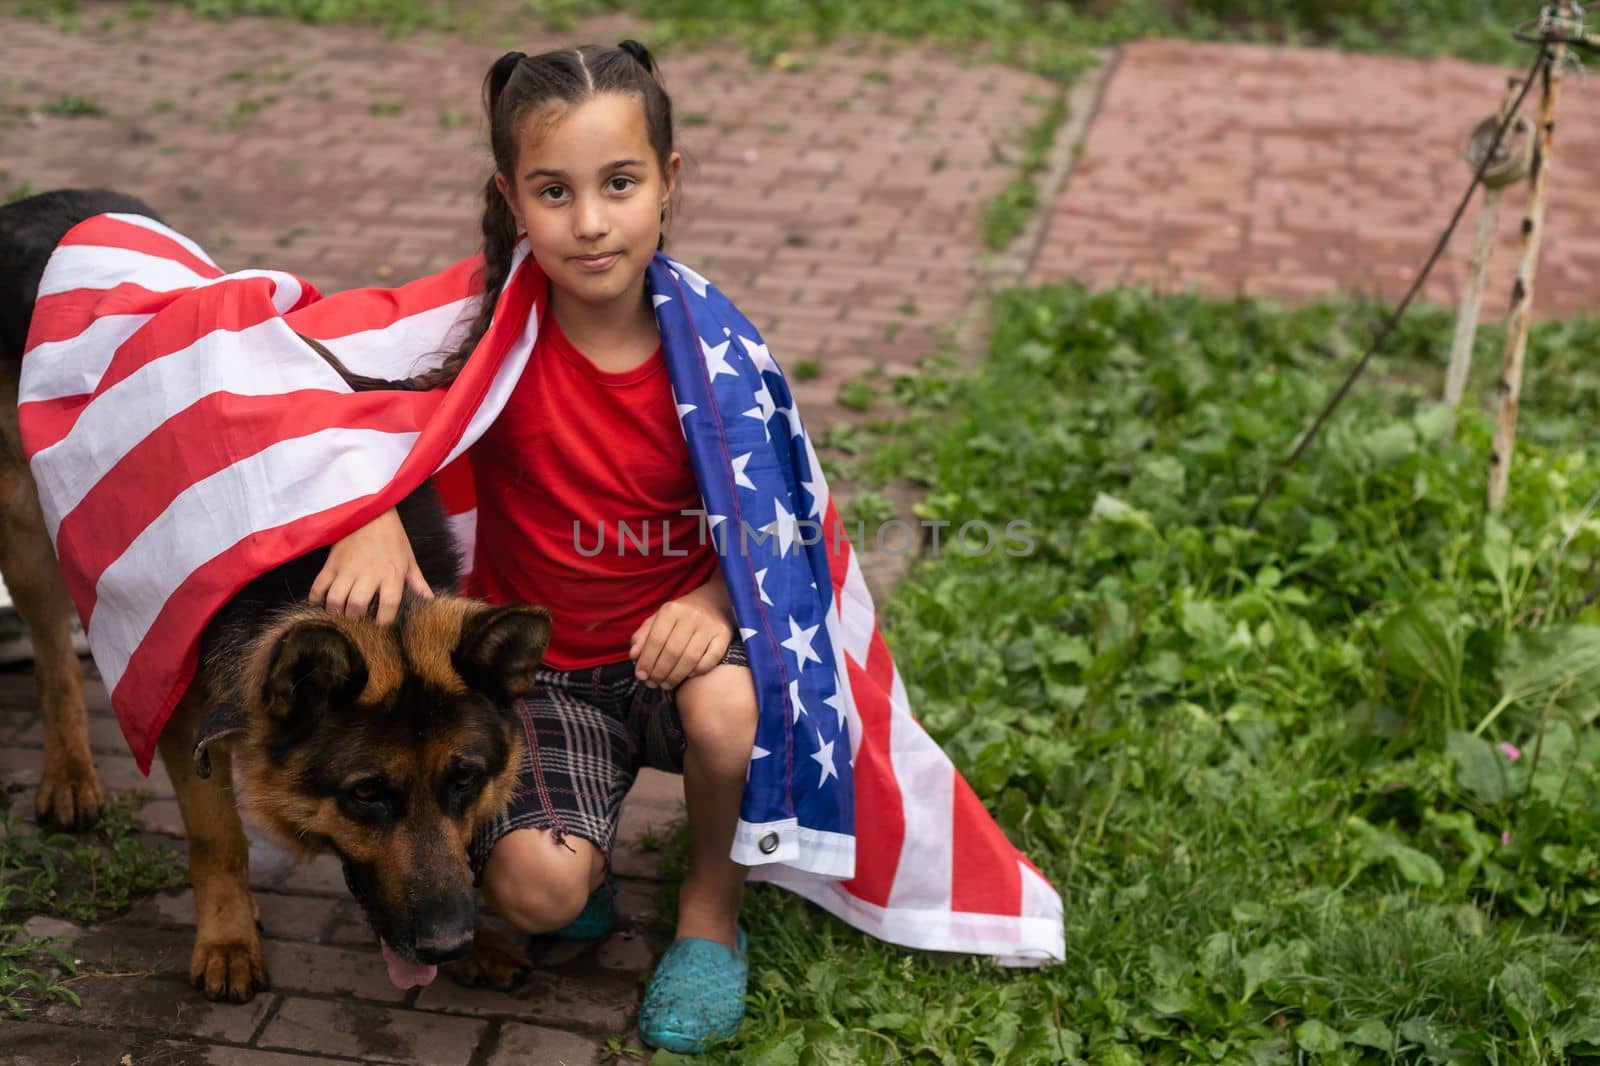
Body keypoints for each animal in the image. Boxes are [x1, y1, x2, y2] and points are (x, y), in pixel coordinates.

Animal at [1, 191, 550, 998]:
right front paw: (228, 939)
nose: (447, 944)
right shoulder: (178, 698)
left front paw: (481, 940)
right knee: (51, 657)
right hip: (27, 531)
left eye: (465, 780)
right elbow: (217, 834)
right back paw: (69, 774)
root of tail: (41, 204)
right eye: (365, 794)